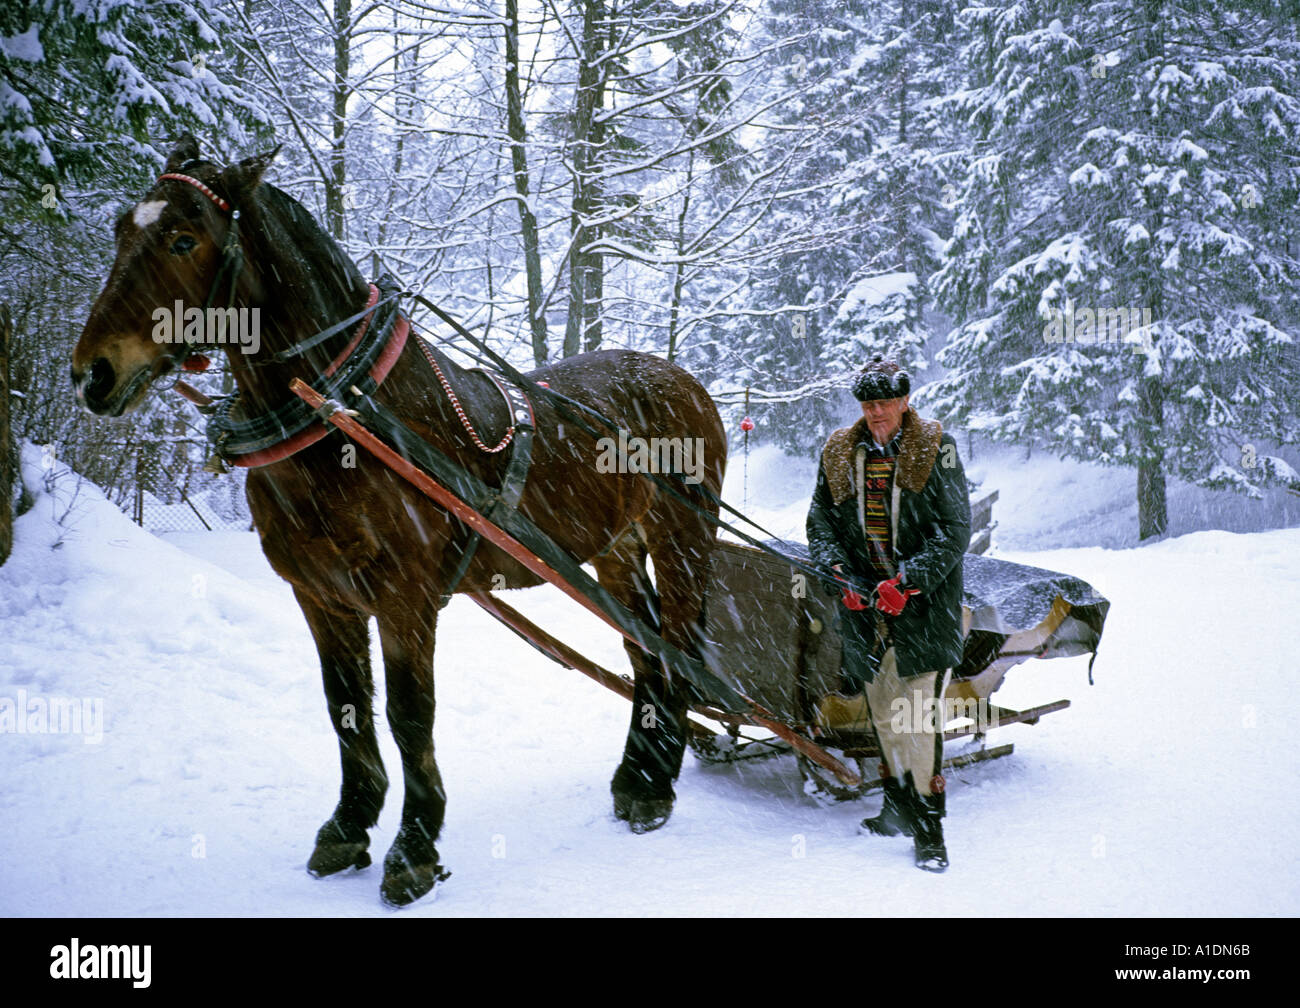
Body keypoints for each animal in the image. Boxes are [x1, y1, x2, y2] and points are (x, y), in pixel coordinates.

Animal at [71, 135, 728, 905]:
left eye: (183, 237)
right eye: (121, 230)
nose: (93, 372)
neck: (341, 412)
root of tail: (681, 379)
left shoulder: (405, 596)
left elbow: (410, 714)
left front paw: (414, 847)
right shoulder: (321, 595)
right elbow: (345, 706)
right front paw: (349, 824)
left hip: (683, 538)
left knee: (677, 645)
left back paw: (654, 787)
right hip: (613, 550)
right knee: (643, 647)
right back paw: (636, 775)